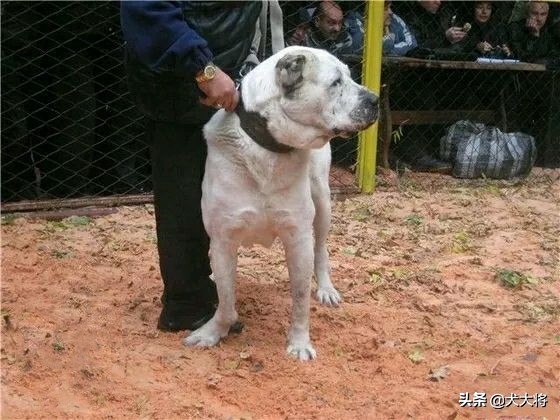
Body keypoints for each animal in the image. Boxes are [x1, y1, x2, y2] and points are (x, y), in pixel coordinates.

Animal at [184, 46, 376, 360]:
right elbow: (225, 298)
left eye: (349, 77)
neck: (268, 148)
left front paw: (299, 343)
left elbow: (299, 298)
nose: (376, 100)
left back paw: (326, 288)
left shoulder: (298, 237)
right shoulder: (223, 239)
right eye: (336, 82)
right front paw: (214, 331)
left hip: (322, 202)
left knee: (321, 249)